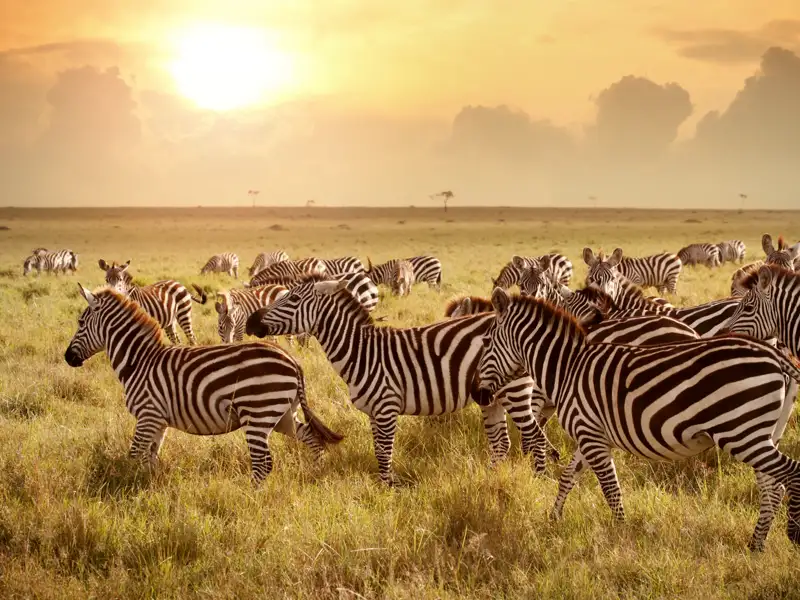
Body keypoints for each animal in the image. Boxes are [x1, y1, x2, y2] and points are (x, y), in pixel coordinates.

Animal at [65, 285, 343, 483]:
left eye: (80, 323)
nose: (67, 358)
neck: (140, 361)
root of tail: (293, 361)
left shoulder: (147, 415)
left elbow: (133, 456)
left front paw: (127, 487)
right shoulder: (158, 420)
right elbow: (151, 458)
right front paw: (148, 486)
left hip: (258, 413)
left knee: (263, 463)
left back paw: (251, 498)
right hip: (282, 414)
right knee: (311, 437)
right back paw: (316, 472)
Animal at [245, 278, 549, 481]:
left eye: (293, 300)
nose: (250, 322)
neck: (362, 353)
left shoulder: (387, 406)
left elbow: (384, 453)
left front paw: (388, 490)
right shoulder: (373, 412)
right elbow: (379, 450)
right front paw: (384, 488)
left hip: (514, 391)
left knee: (536, 437)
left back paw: (539, 479)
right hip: (491, 397)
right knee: (502, 443)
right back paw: (489, 478)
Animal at [476, 288, 800, 552]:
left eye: (487, 341)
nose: (478, 395)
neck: (568, 368)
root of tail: (774, 354)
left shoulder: (591, 437)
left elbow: (610, 489)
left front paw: (621, 534)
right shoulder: (590, 434)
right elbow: (568, 477)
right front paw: (553, 518)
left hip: (741, 432)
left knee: (791, 475)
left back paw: (791, 535)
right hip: (760, 433)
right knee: (773, 487)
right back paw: (756, 545)